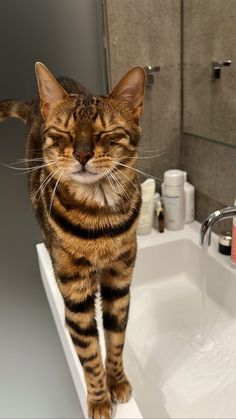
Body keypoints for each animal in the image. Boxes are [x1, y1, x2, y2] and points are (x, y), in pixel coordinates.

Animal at [0, 63, 146, 419]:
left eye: (104, 133)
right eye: (64, 133)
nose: (81, 154)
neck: (99, 222)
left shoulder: (120, 280)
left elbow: (116, 340)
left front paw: (117, 381)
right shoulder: (76, 295)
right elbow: (90, 355)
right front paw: (99, 399)